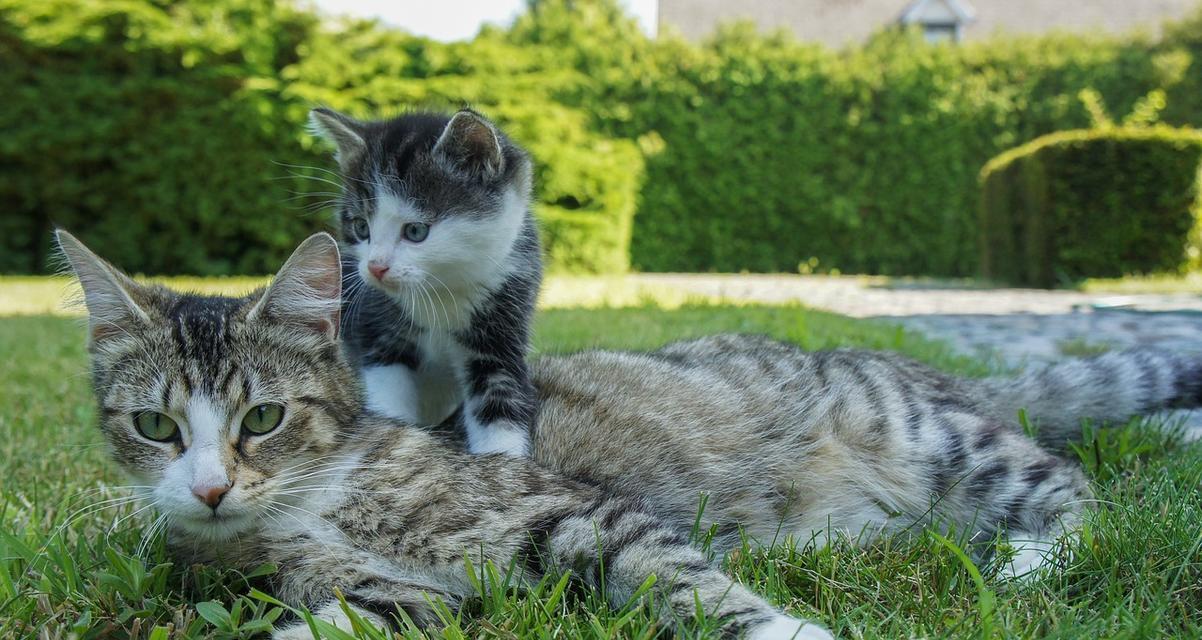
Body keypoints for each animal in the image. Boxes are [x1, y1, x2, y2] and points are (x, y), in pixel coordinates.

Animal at [307, 107, 543, 454]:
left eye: (416, 231)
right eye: (361, 228)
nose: (375, 267)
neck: (440, 289)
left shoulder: (503, 324)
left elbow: (500, 403)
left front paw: (505, 457)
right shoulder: (378, 331)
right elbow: (388, 397)